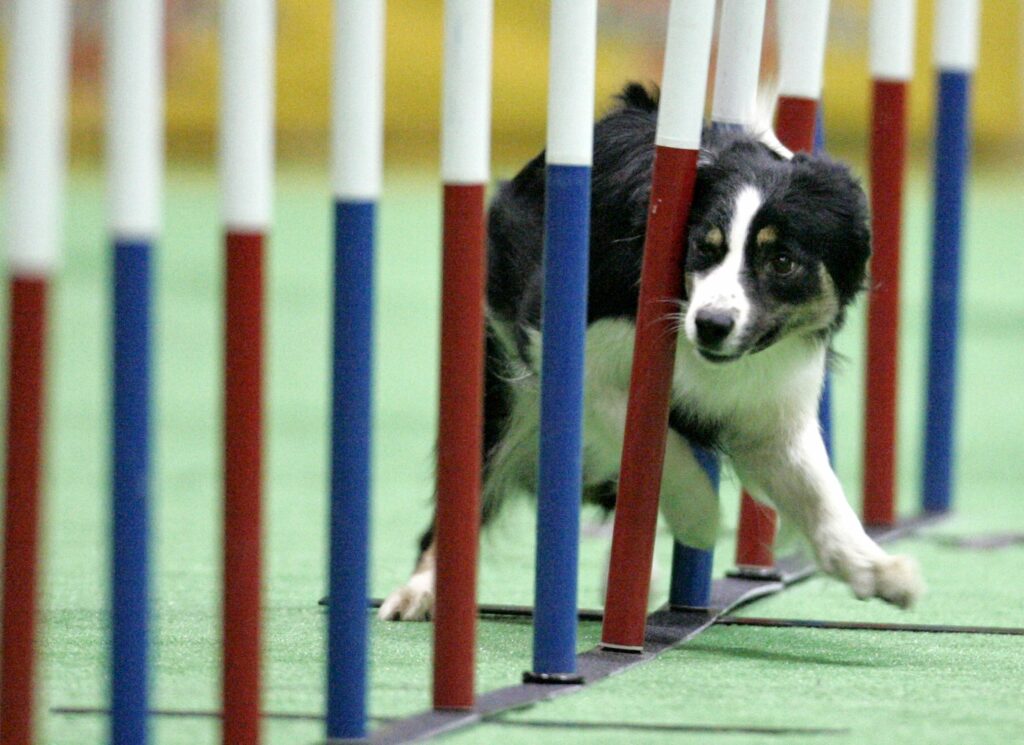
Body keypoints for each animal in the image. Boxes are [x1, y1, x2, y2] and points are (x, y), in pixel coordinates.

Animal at [380, 84, 925, 618]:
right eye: (705, 247)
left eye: (783, 261)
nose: (711, 325)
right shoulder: (564, 340)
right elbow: (647, 435)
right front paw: (699, 514)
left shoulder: (768, 407)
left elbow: (818, 491)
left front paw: (880, 571)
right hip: (502, 400)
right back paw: (419, 592)